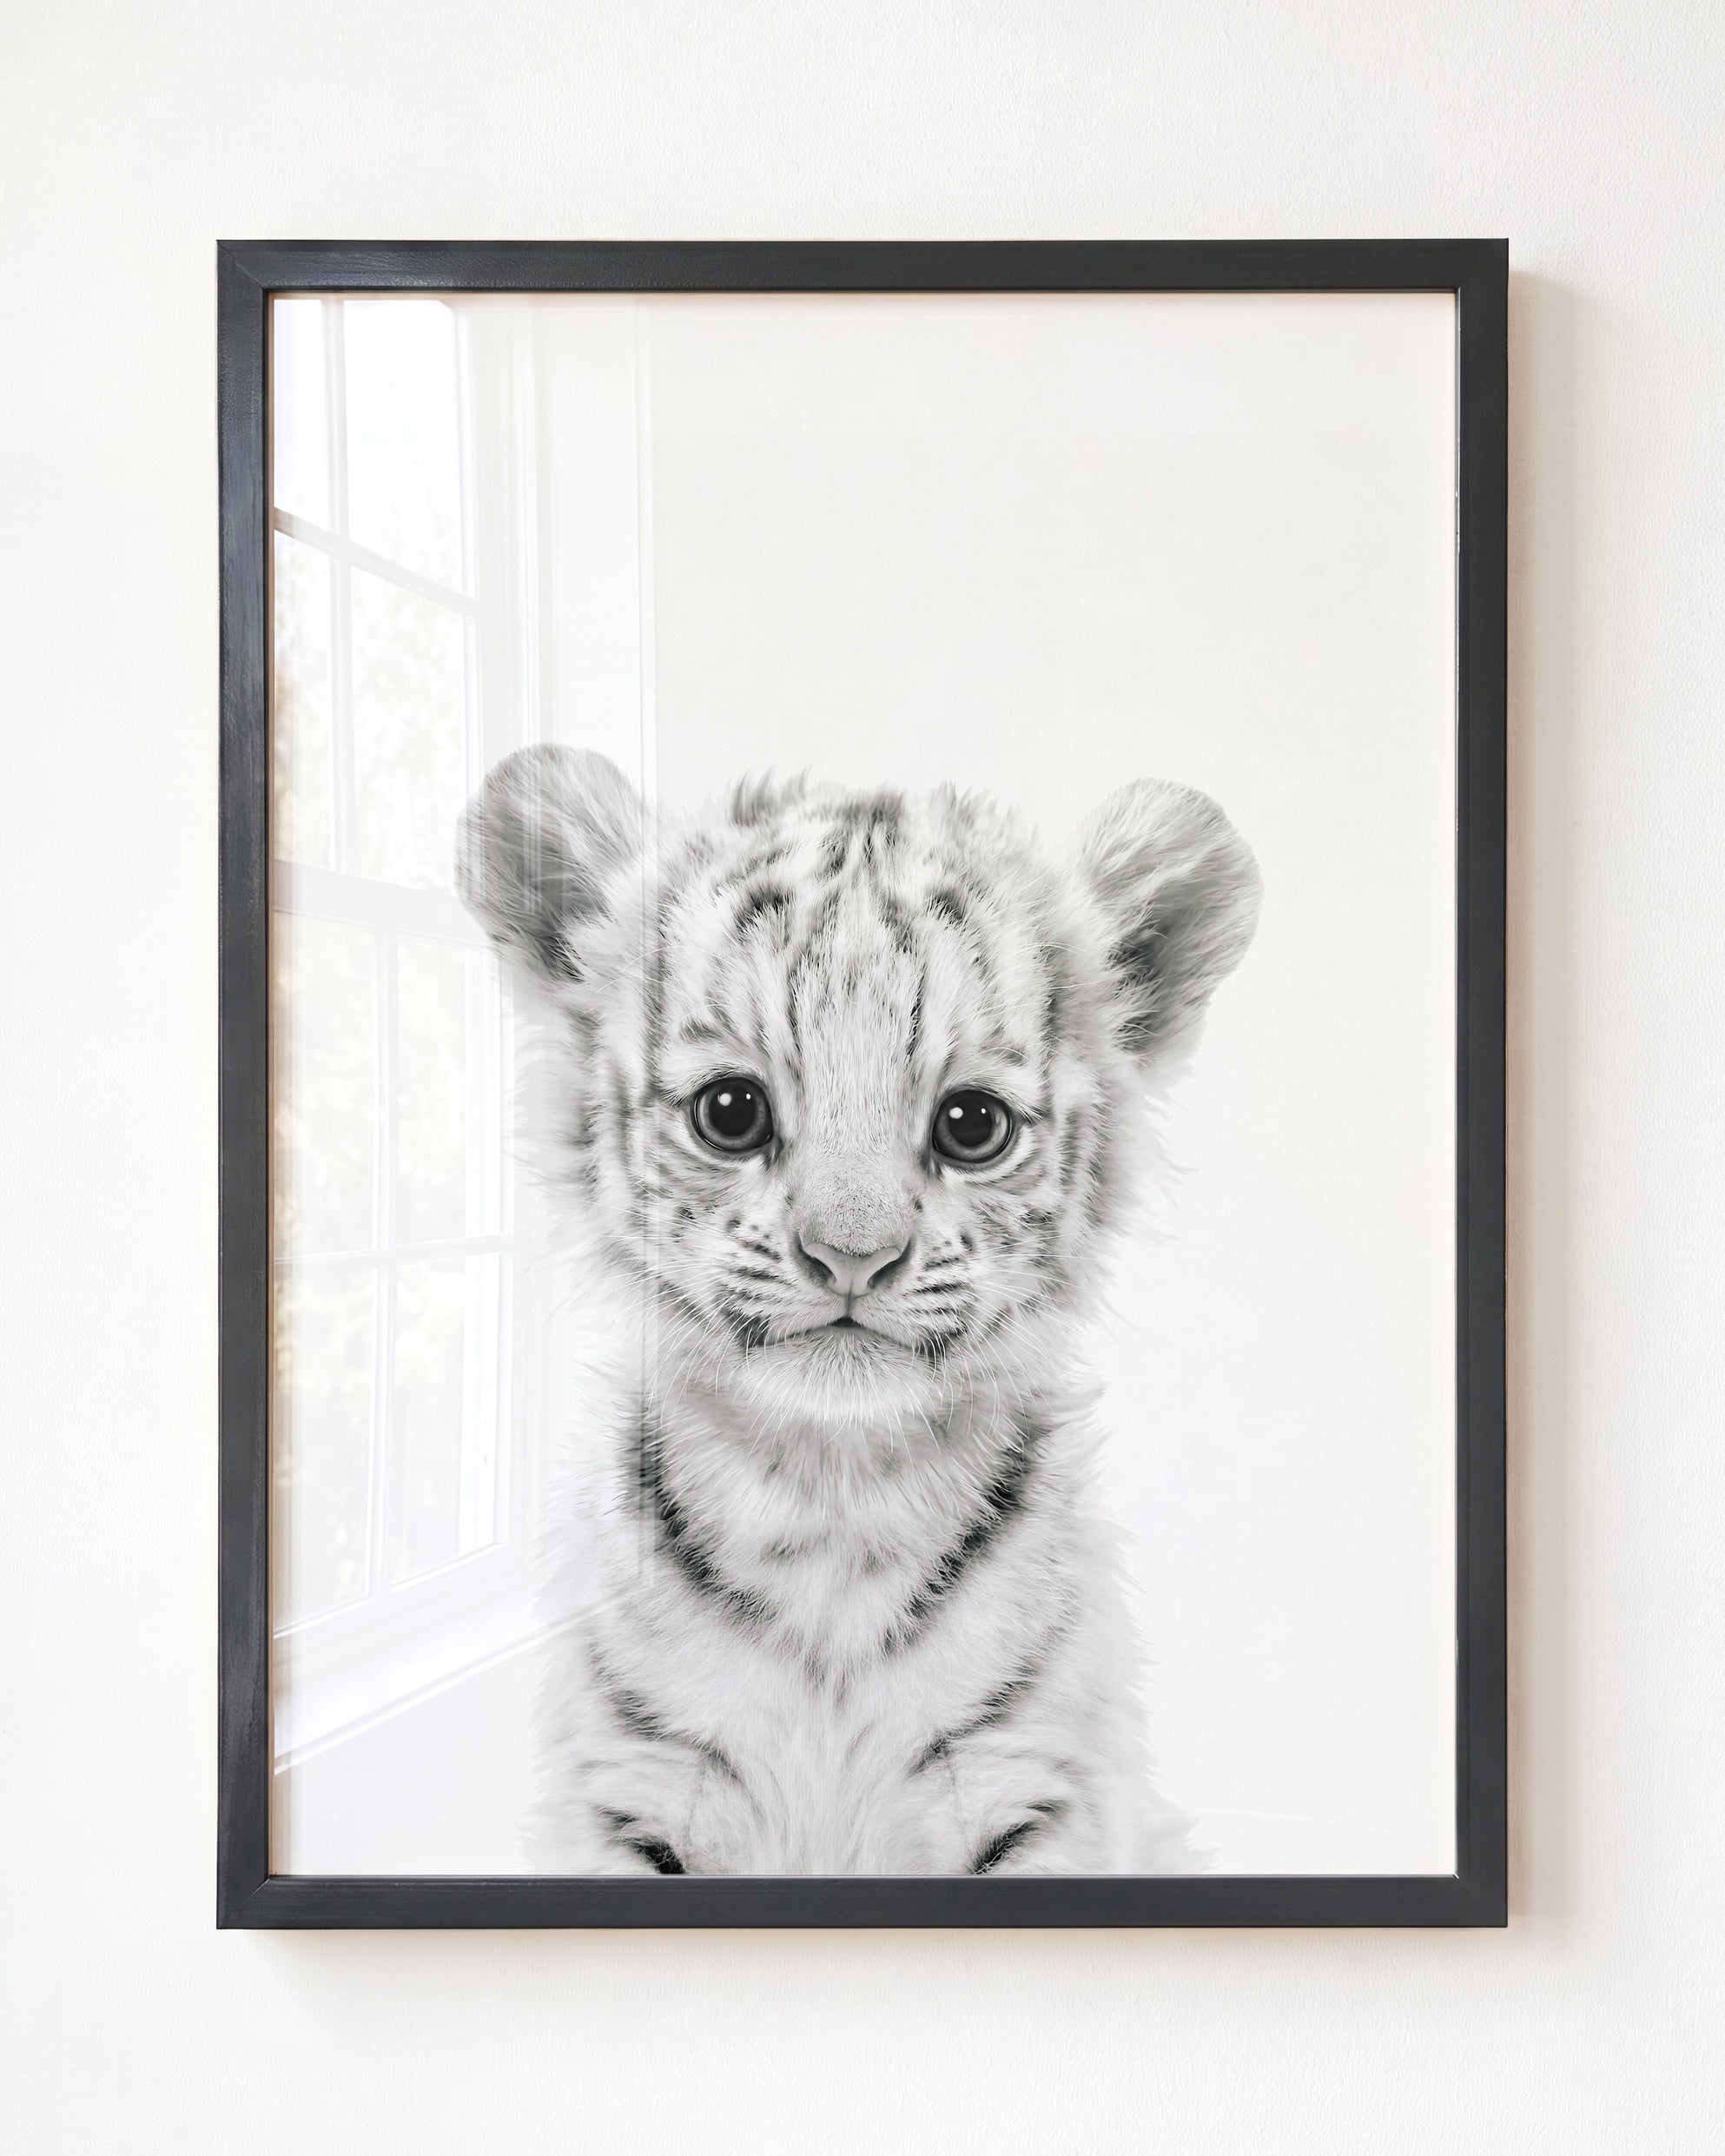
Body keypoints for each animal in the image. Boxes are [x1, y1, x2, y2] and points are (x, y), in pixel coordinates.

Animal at [457, 744, 1260, 1875]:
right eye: (731, 1111)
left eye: (972, 1124)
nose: (852, 1255)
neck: (830, 1506)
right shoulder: (632, 1793)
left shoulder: (1035, 1790)